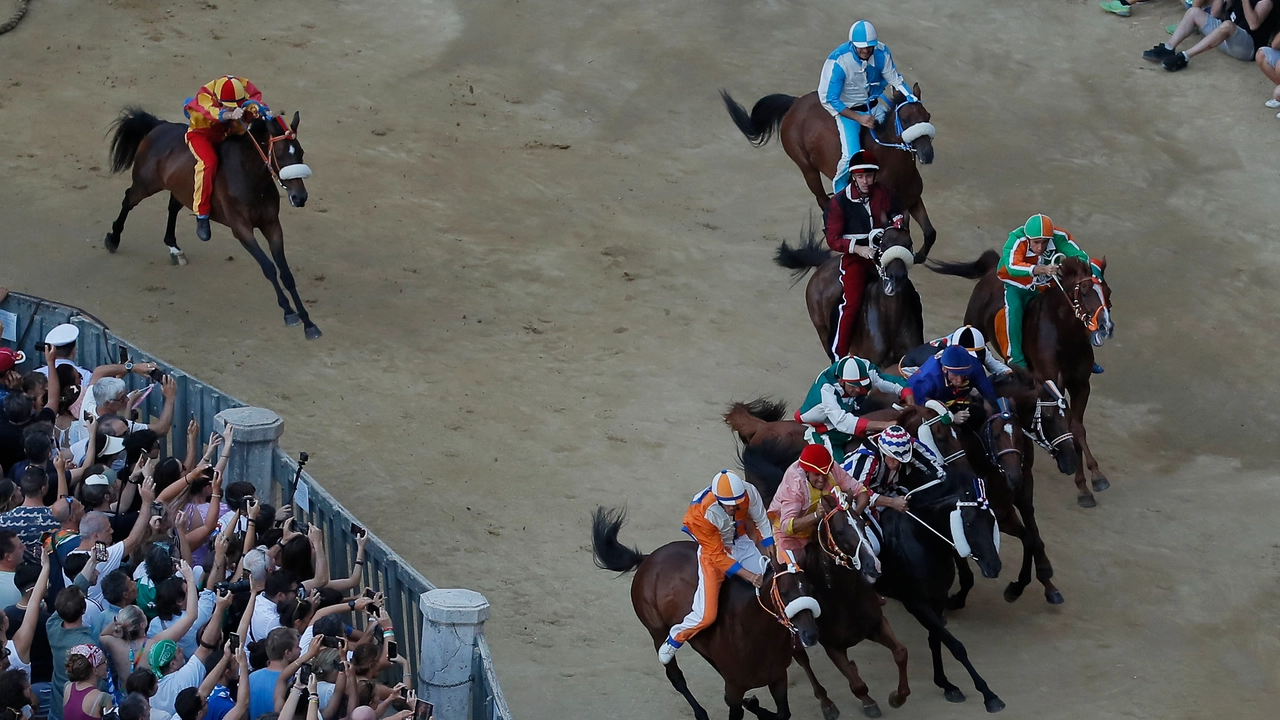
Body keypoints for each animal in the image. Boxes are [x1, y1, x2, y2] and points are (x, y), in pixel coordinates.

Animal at [106, 106, 322, 338]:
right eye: (280, 155)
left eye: (301, 152)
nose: (300, 197)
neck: (250, 176)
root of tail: (159, 125)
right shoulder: (242, 229)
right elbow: (268, 267)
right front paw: (289, 313)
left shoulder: (272, 225)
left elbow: (286, 273)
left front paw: (308, 322)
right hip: (146, 183)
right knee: (128, 200)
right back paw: (113, 239)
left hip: (181, 188)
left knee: (172, 207)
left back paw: (174, 248)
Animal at [588, 504, 819, 717]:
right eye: (785, 592)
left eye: (809, 587)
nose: (810, 634)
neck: (757, 634)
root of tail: (647, 559)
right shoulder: (735, 687)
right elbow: (735, 702)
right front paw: (750, 702)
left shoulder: (778, 676)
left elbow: (782, 714)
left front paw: (753, 702)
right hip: (656, 629)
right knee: (676, 676)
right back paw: (698, 708)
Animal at [721, 85, 942, 262]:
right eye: (904, 119)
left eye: (927, 116)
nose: (927, 154)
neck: (893, 168)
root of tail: (795, 103)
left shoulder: (913, 200)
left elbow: (930, 232)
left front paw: (919, 256)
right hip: (807, 168)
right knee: (822, 199)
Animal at [768, 224, 921, 363]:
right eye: (883, 244)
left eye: (909, 244)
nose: (896, 277)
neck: (891, 320)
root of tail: (824, 264)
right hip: (822, 330)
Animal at [926, 251, 1116, 504]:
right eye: (1084, 292)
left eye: (1108, 292)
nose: (1106, 327)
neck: (1065, 339)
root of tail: (992, 267)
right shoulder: (1051, 384)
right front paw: (1085, 485)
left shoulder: (1081, 385)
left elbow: (1077, 427)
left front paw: (1094, 477)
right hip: (974, 328)